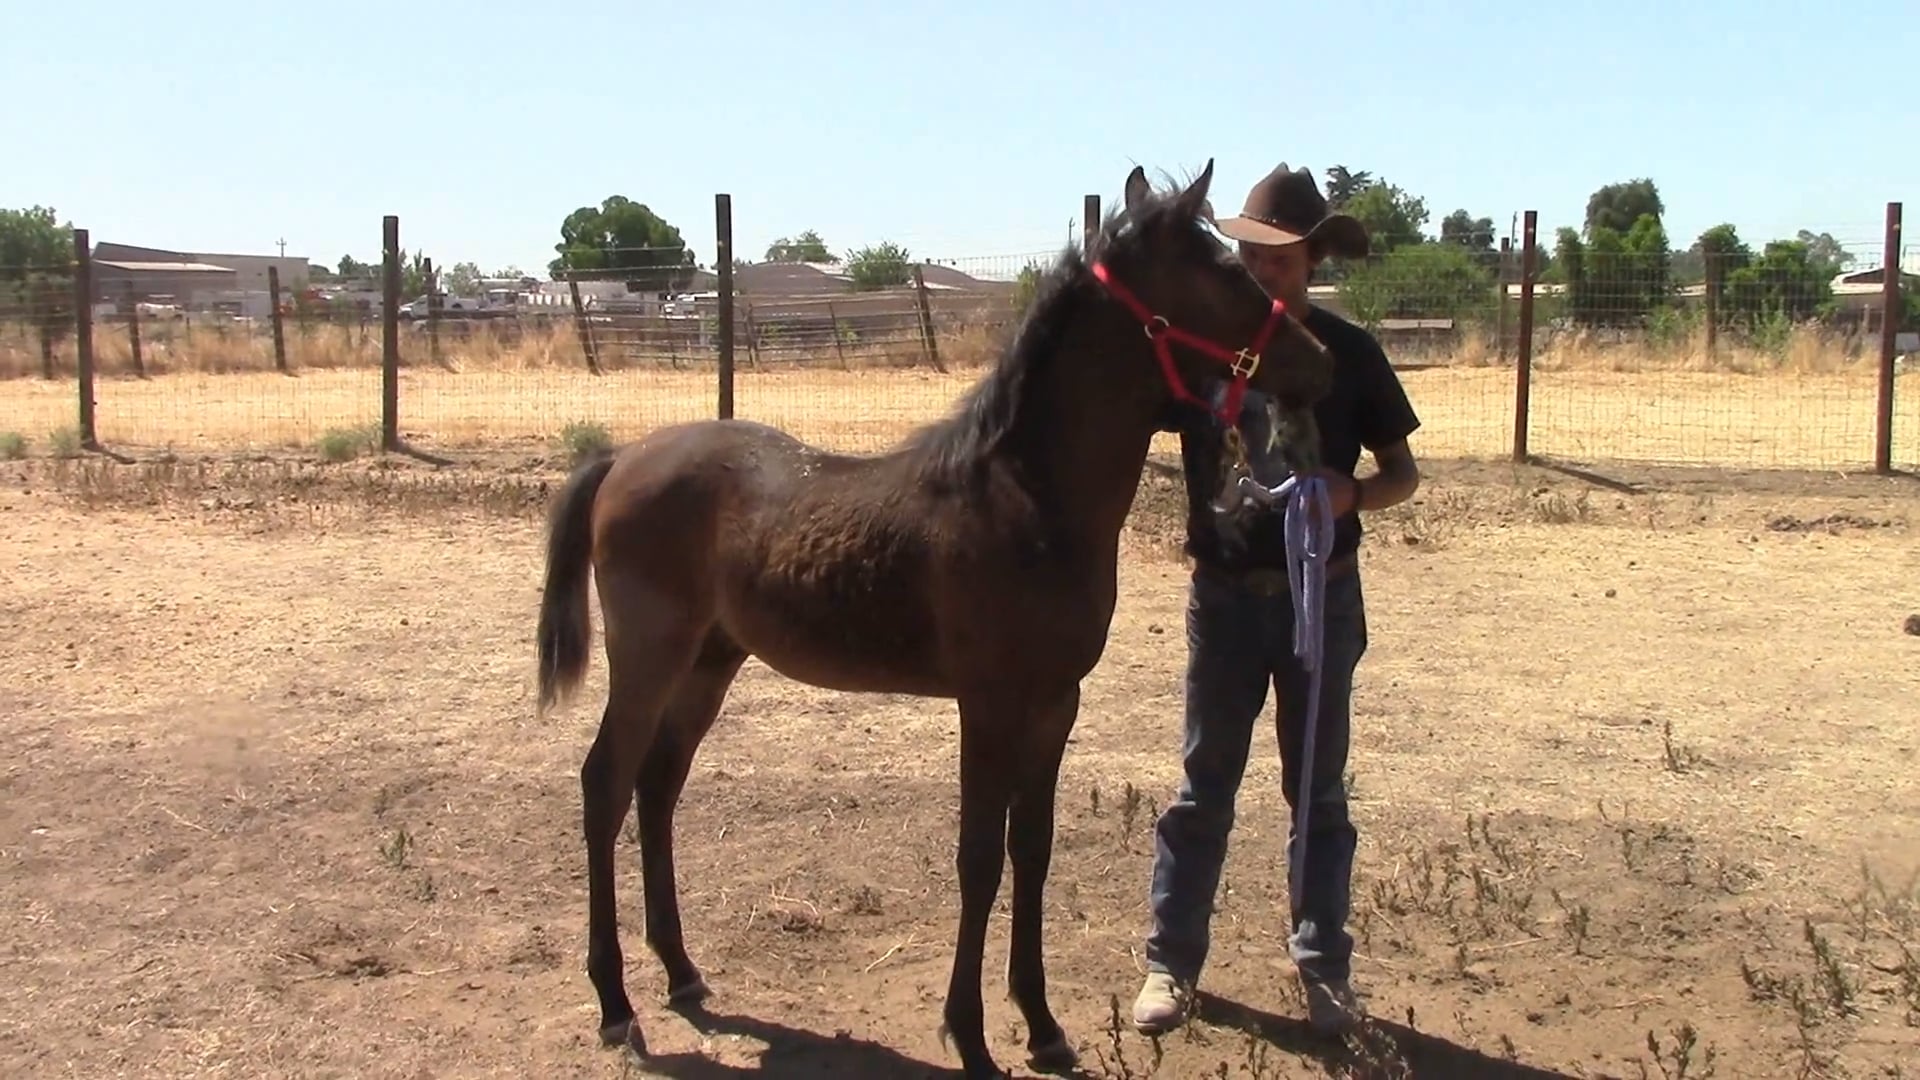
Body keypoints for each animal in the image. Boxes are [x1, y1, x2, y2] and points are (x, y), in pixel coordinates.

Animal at [533, 159, 1337, 1079]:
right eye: (1226, 273)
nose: (1321, 366)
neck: (1025, 500)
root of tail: (621, 458)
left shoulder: (1054, 704)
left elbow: (1032, 849)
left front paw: (1044, 1025)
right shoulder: (986, 705)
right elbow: (978, 858)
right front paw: (973, 1036)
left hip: (709, 661)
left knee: (657, 788)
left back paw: (682, 973)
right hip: (649, 657)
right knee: (606, 784)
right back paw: (616, 1005)